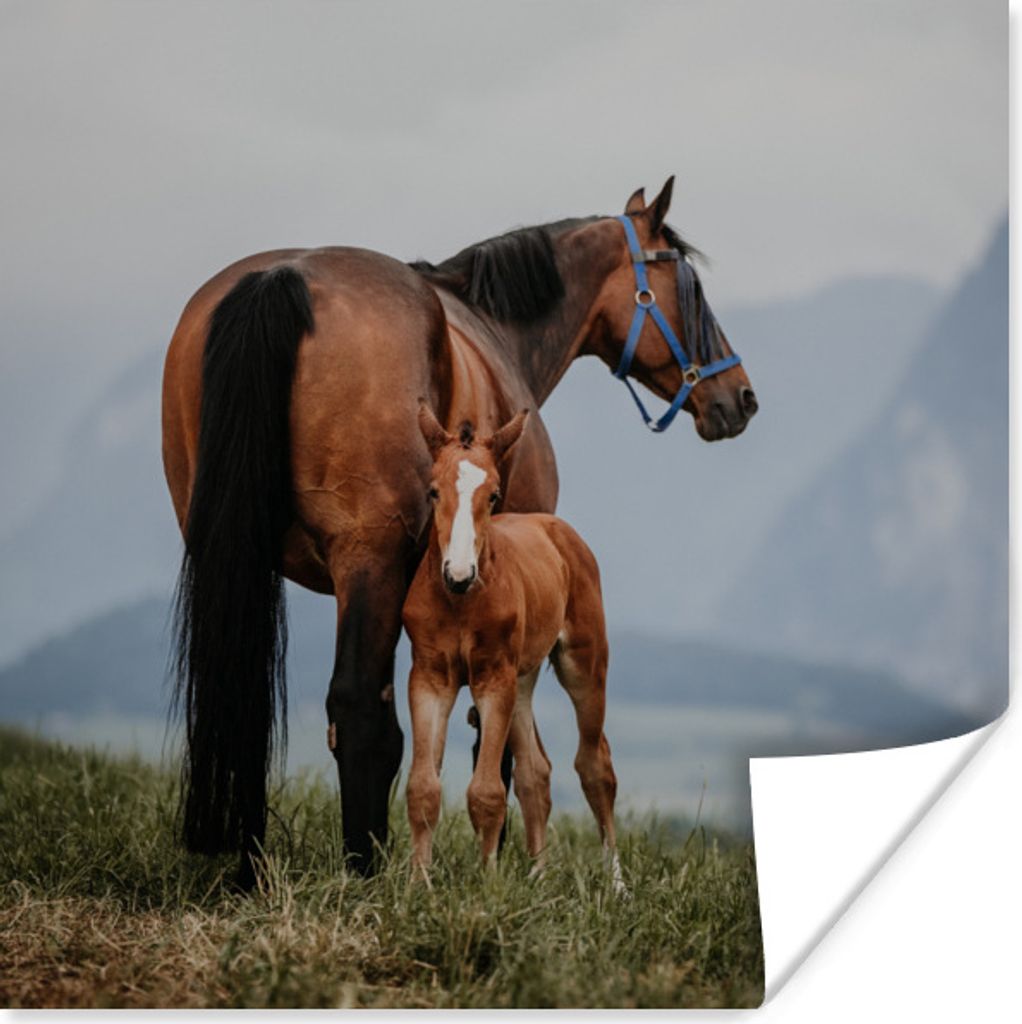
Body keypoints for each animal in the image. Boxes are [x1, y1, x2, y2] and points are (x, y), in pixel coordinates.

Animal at [403, 404, 619, 879]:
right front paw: (417, 884)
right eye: (433, 491)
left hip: (583, 664)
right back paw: (538, 877)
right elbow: (423, 788)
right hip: (522, 679)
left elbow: (486, 792)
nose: (458, 574)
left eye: (494, 495)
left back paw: (616, 884)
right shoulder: (429, 678)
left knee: (595, 765)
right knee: (535, 771)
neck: (459, 603)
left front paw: (487, 884)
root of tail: (556, 528)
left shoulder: (491, 678)